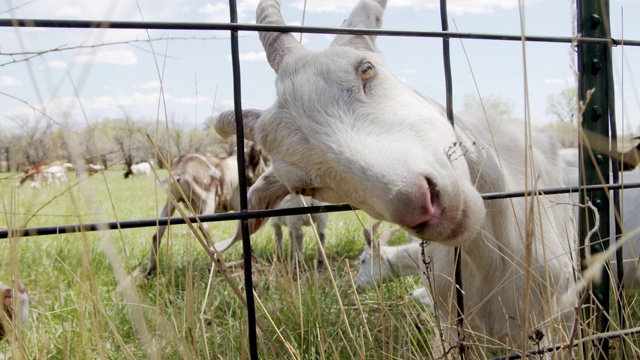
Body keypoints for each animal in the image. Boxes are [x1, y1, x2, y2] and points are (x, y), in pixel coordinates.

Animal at [210, 0, 576, 354]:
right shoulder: (454, 330)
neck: (494, 268)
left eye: (366, 69)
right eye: (305, 186)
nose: (424, 207)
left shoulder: (553, 321)